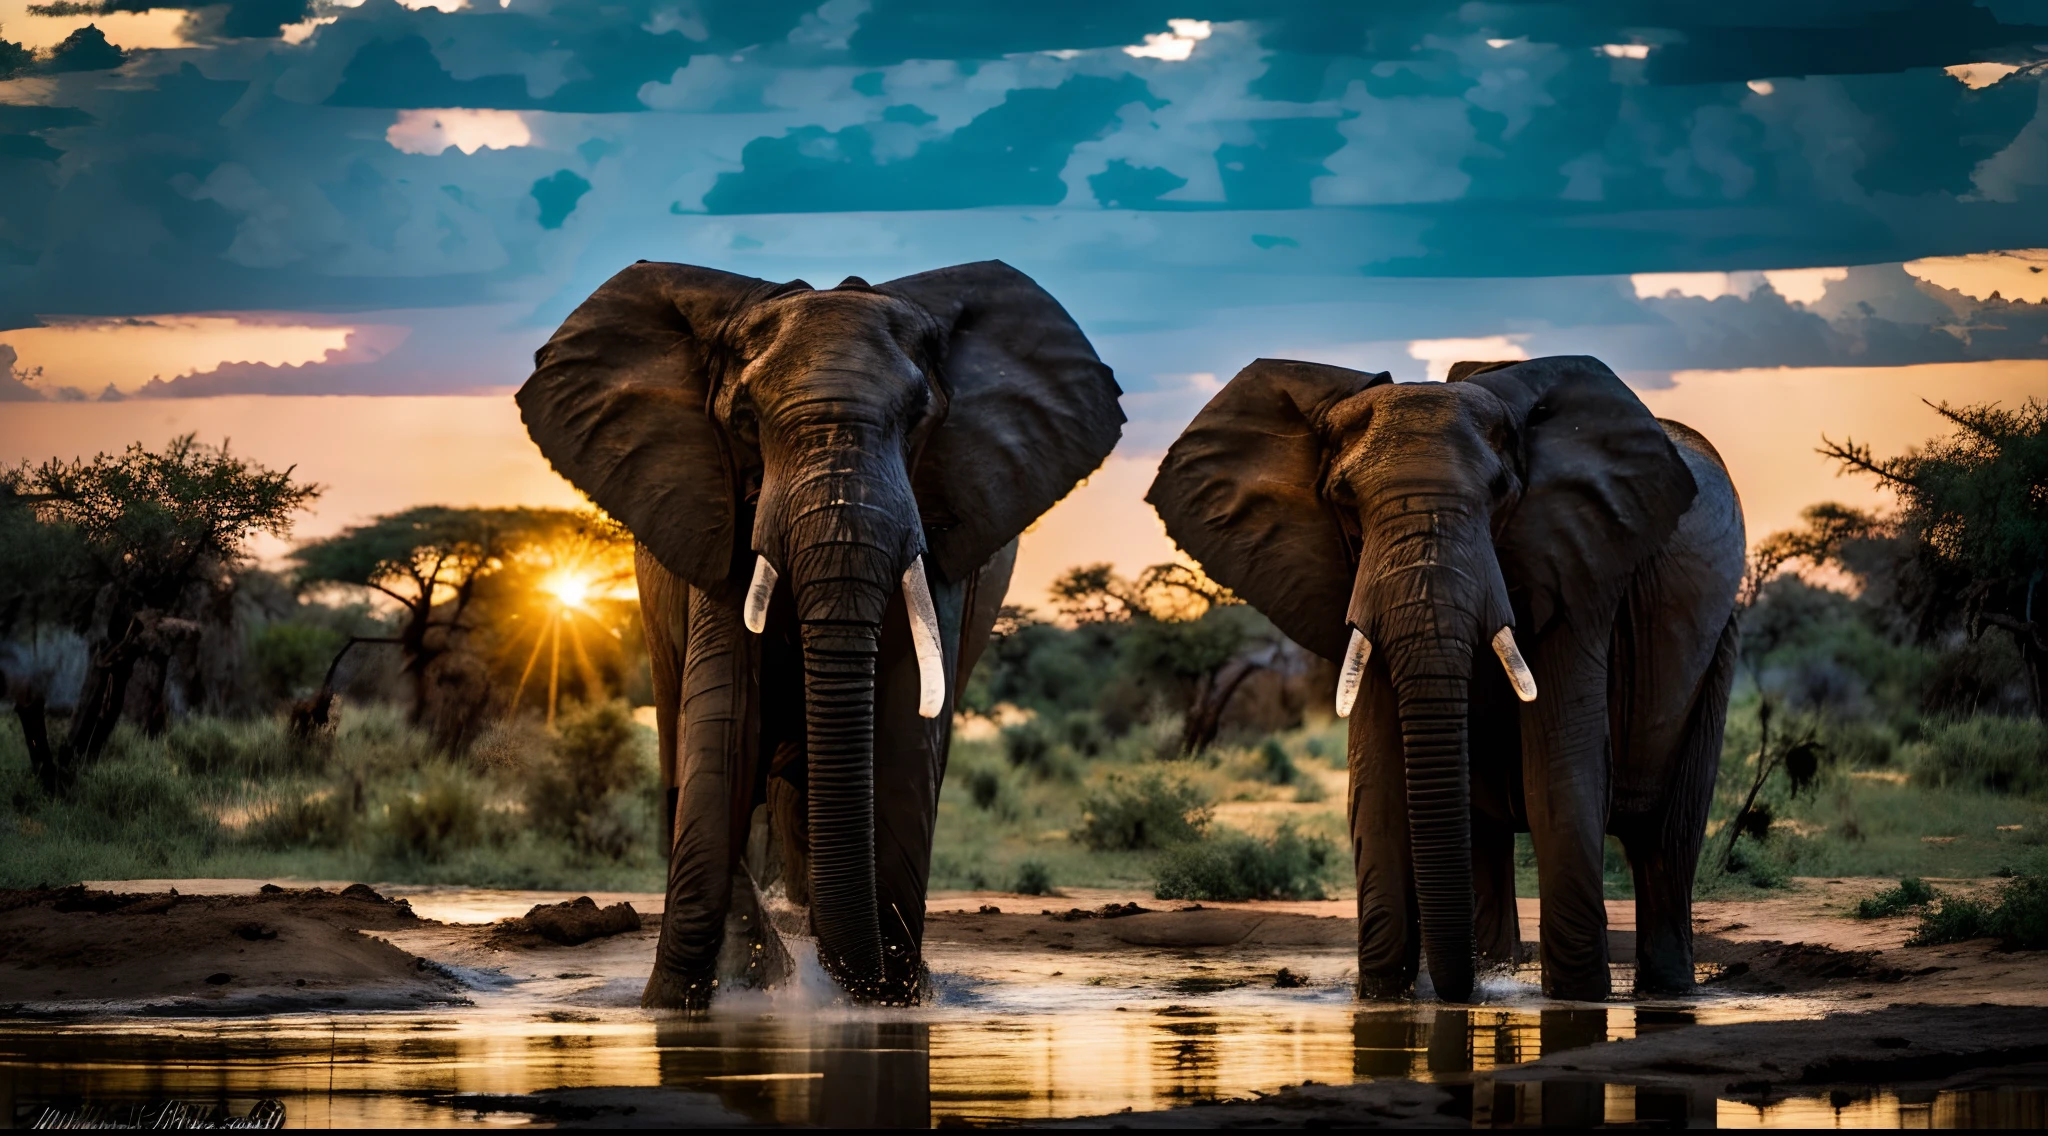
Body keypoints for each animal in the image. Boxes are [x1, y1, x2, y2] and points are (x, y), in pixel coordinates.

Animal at [512, 257, 1122, 1002]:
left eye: (918, 419)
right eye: (744, 420)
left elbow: (902, 733)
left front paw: (889, 1001)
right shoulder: (718, 515)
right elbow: (725, 724)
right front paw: (679, 1004)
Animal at [1146, 356, 1736, 1002]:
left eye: (1501, 494)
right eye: (1343, 499)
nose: (1456, 989)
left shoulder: (1581, 572)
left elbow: (1561, 771)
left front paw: (1578, 999)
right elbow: (1377, 777)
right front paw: (1382, 999)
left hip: (1719, 640)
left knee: (1668, 840)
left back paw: (1665, 992)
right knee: (1489, 836)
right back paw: (1499, 969)